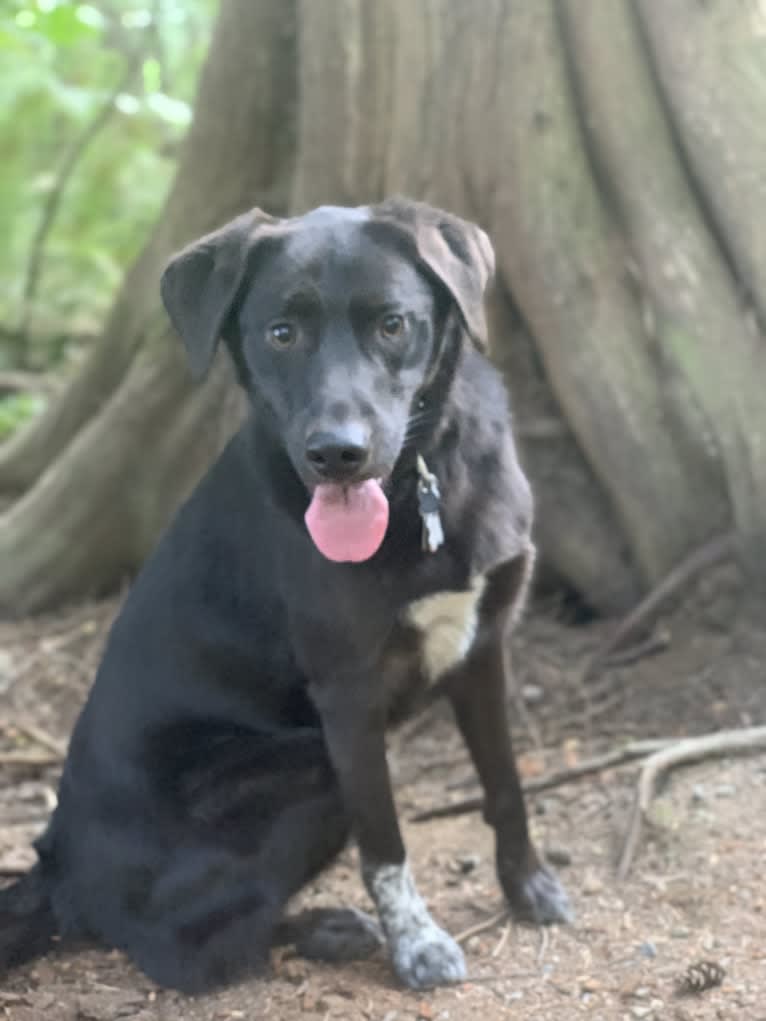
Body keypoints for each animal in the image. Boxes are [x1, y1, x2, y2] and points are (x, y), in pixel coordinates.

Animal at [0, 197, 571, 988]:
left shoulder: (482, 647)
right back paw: (322, 929)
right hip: (306, 765)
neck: (420, 483)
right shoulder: (347, 695)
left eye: (392, 323)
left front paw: (528, 885)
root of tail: (56, 871)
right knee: (180, 946)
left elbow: (506, 785)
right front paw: (417, 944)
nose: (337, 453)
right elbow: (385, 843)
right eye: (281, 332)